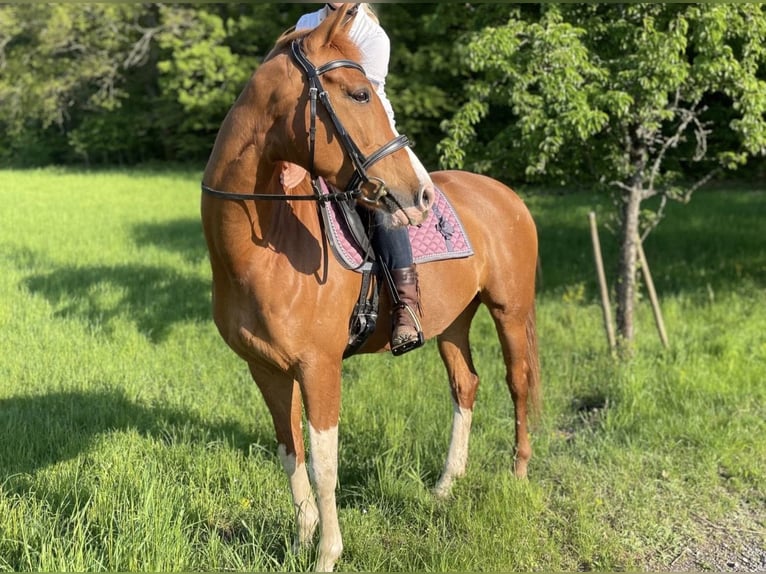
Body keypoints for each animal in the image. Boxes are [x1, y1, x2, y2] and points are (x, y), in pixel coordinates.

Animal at [200, 7, 540, 572]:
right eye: (359, 96)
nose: (421, 195)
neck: (264, 250)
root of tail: (504, 194)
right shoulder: (266, 369)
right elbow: (289, 451)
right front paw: (301, 540)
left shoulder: (319, 367)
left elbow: (324, 464)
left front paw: (326, 554)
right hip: (454, 322)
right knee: (465, 385)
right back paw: (445, 487)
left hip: (509, 310)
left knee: (518, 383)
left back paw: (517, 476)